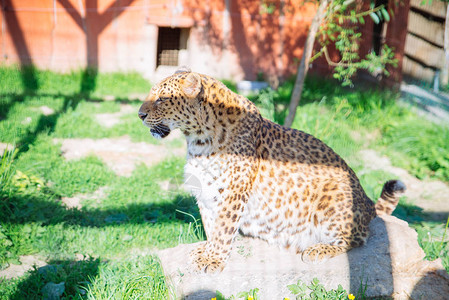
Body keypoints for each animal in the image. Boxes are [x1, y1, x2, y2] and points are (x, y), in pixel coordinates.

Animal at [138, 67, 404, 274]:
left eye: (162, 99)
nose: (140, 114)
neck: (198, 139)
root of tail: (367, 201)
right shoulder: (205, 189)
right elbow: (211, 225)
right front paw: (206, 251)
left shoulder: (233, 192)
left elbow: (223, 228)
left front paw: (213, 260)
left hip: (335, 195)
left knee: (357, 237)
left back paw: (318, 249)